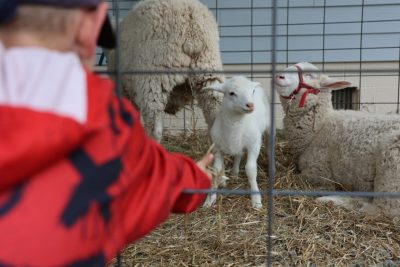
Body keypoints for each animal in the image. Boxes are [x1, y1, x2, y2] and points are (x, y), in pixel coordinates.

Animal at [106, 0, 225, 142]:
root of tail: (192, 32)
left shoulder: (124, 90)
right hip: (208, 69)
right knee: (215, 113)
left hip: (155, 77)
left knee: (154, 125)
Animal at [203, 75, 272, 209]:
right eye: (232, 93)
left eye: (252, 91)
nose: (250, 105)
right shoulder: (217, 148)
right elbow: (217, 171)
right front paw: (210, 199)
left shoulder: (254, 145)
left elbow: (250, 170)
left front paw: (256, 199)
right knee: (239, 154)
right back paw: (235, 172)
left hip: (269, 129)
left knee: (269, 148)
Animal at [274, 61, 400, 219]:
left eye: (309, 75)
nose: (279, 76)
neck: (319, 128)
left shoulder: (318, 171)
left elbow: (299, 178)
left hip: (391, 164)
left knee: (383, 209)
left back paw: (333, 200)